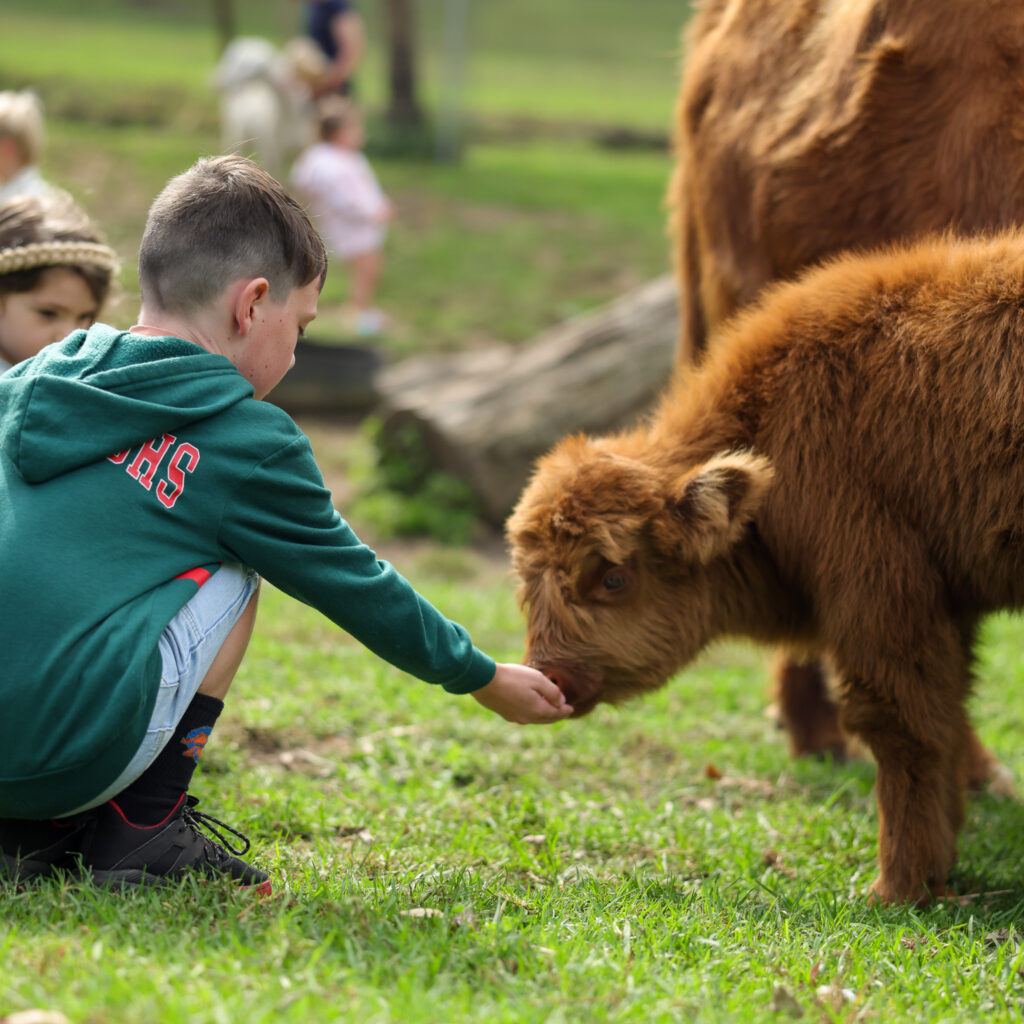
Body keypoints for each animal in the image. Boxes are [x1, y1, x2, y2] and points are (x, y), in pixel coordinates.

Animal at [507, 231, 1024, 905]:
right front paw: (939, 863)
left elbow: (903, 724)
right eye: (528, 583)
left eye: (614, 576)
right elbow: (948, 718)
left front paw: (897, 886)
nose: (550, 674)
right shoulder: (943, 604)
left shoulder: (883, 594)